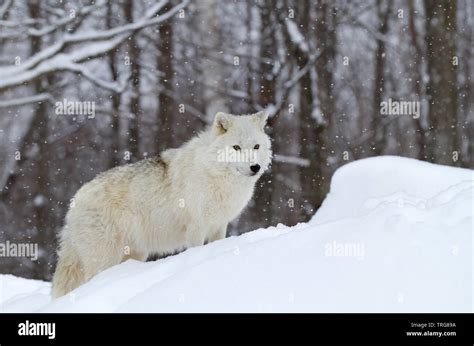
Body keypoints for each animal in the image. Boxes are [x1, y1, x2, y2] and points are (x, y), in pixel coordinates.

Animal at [51, 111, 270, 298]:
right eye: (236, 148)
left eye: (256, 147)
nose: (255, 167)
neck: (215, 174)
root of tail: (75, 200)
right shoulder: (196, 228)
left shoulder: (219, 225)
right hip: (104, 257)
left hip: (134, 254)